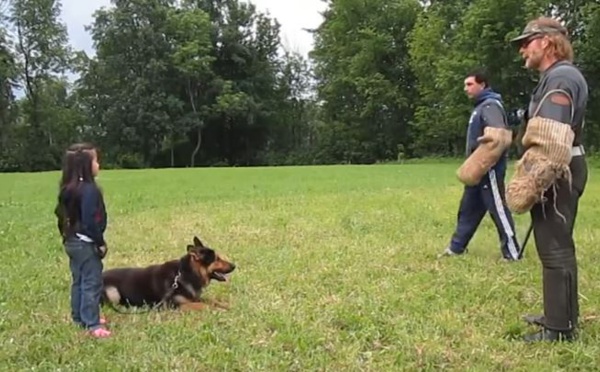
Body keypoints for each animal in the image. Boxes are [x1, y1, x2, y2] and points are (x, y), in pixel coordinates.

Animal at [102, 235, 236, 310]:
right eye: (217, 259)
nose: (234, 266)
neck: (185, 274)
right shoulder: (175, 304)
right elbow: (204, 306)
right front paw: (220, 311)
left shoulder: (194, 298)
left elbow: (211, 300)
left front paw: (225, 305)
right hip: (113, 292)